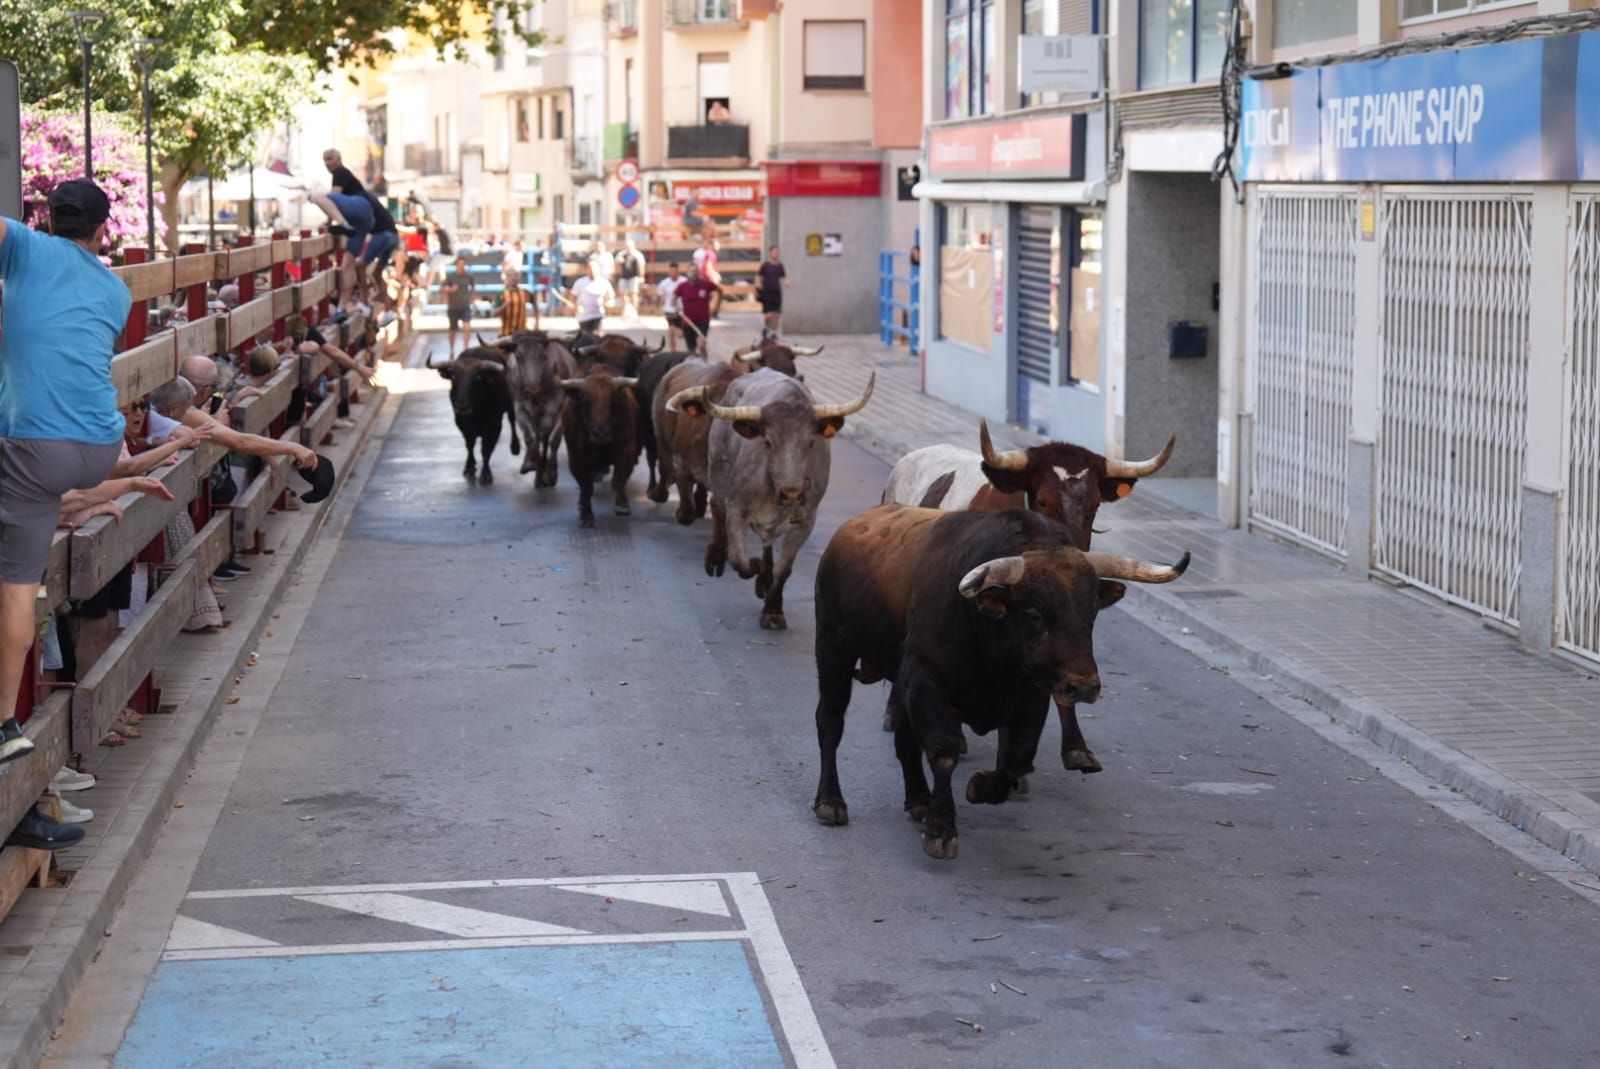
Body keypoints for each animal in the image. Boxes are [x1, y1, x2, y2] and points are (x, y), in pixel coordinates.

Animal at [428, 344, 521, 486]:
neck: (477, 413)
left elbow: (486, 449)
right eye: (453, 376)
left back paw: (515, 447)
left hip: (510, 404)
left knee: (512, 419)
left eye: (477, 377)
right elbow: (470, 444)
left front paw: (485, 474)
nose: (462, 405)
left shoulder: (494, 425)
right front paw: (469, 467)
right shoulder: (461, 422)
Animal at [560, 364, 640, 528]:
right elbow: (586, 487)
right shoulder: (576, 457)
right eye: (584, 398)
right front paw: (586, 515)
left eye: (614, 398)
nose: (600, 434)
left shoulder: (627, 449)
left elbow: (620, 478)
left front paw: (622, 505)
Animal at [672, 369, 883, 627]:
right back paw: (715, 558)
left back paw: (764, 579)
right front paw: (753, 565)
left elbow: (783, 568)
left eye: (810, 442)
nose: (792, 492)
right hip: (718, 472)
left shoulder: (804, 521)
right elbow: (738, 559)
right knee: (717, 507)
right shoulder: (737, 509)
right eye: (768, 442)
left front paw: (773, 609)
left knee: (767, 540)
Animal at [812, 508, 1190, 857]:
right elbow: (943, 750)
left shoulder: (1031, 696)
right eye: (1035, 613)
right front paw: (941, 830)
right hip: (832, 649)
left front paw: (979, 788)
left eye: (1092, 612)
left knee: (904, 736)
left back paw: (919, 798)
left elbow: (1017, 758)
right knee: (830, 720)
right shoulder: (926, 679)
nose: (1083, 686)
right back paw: (830, 802)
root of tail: (848, 531)